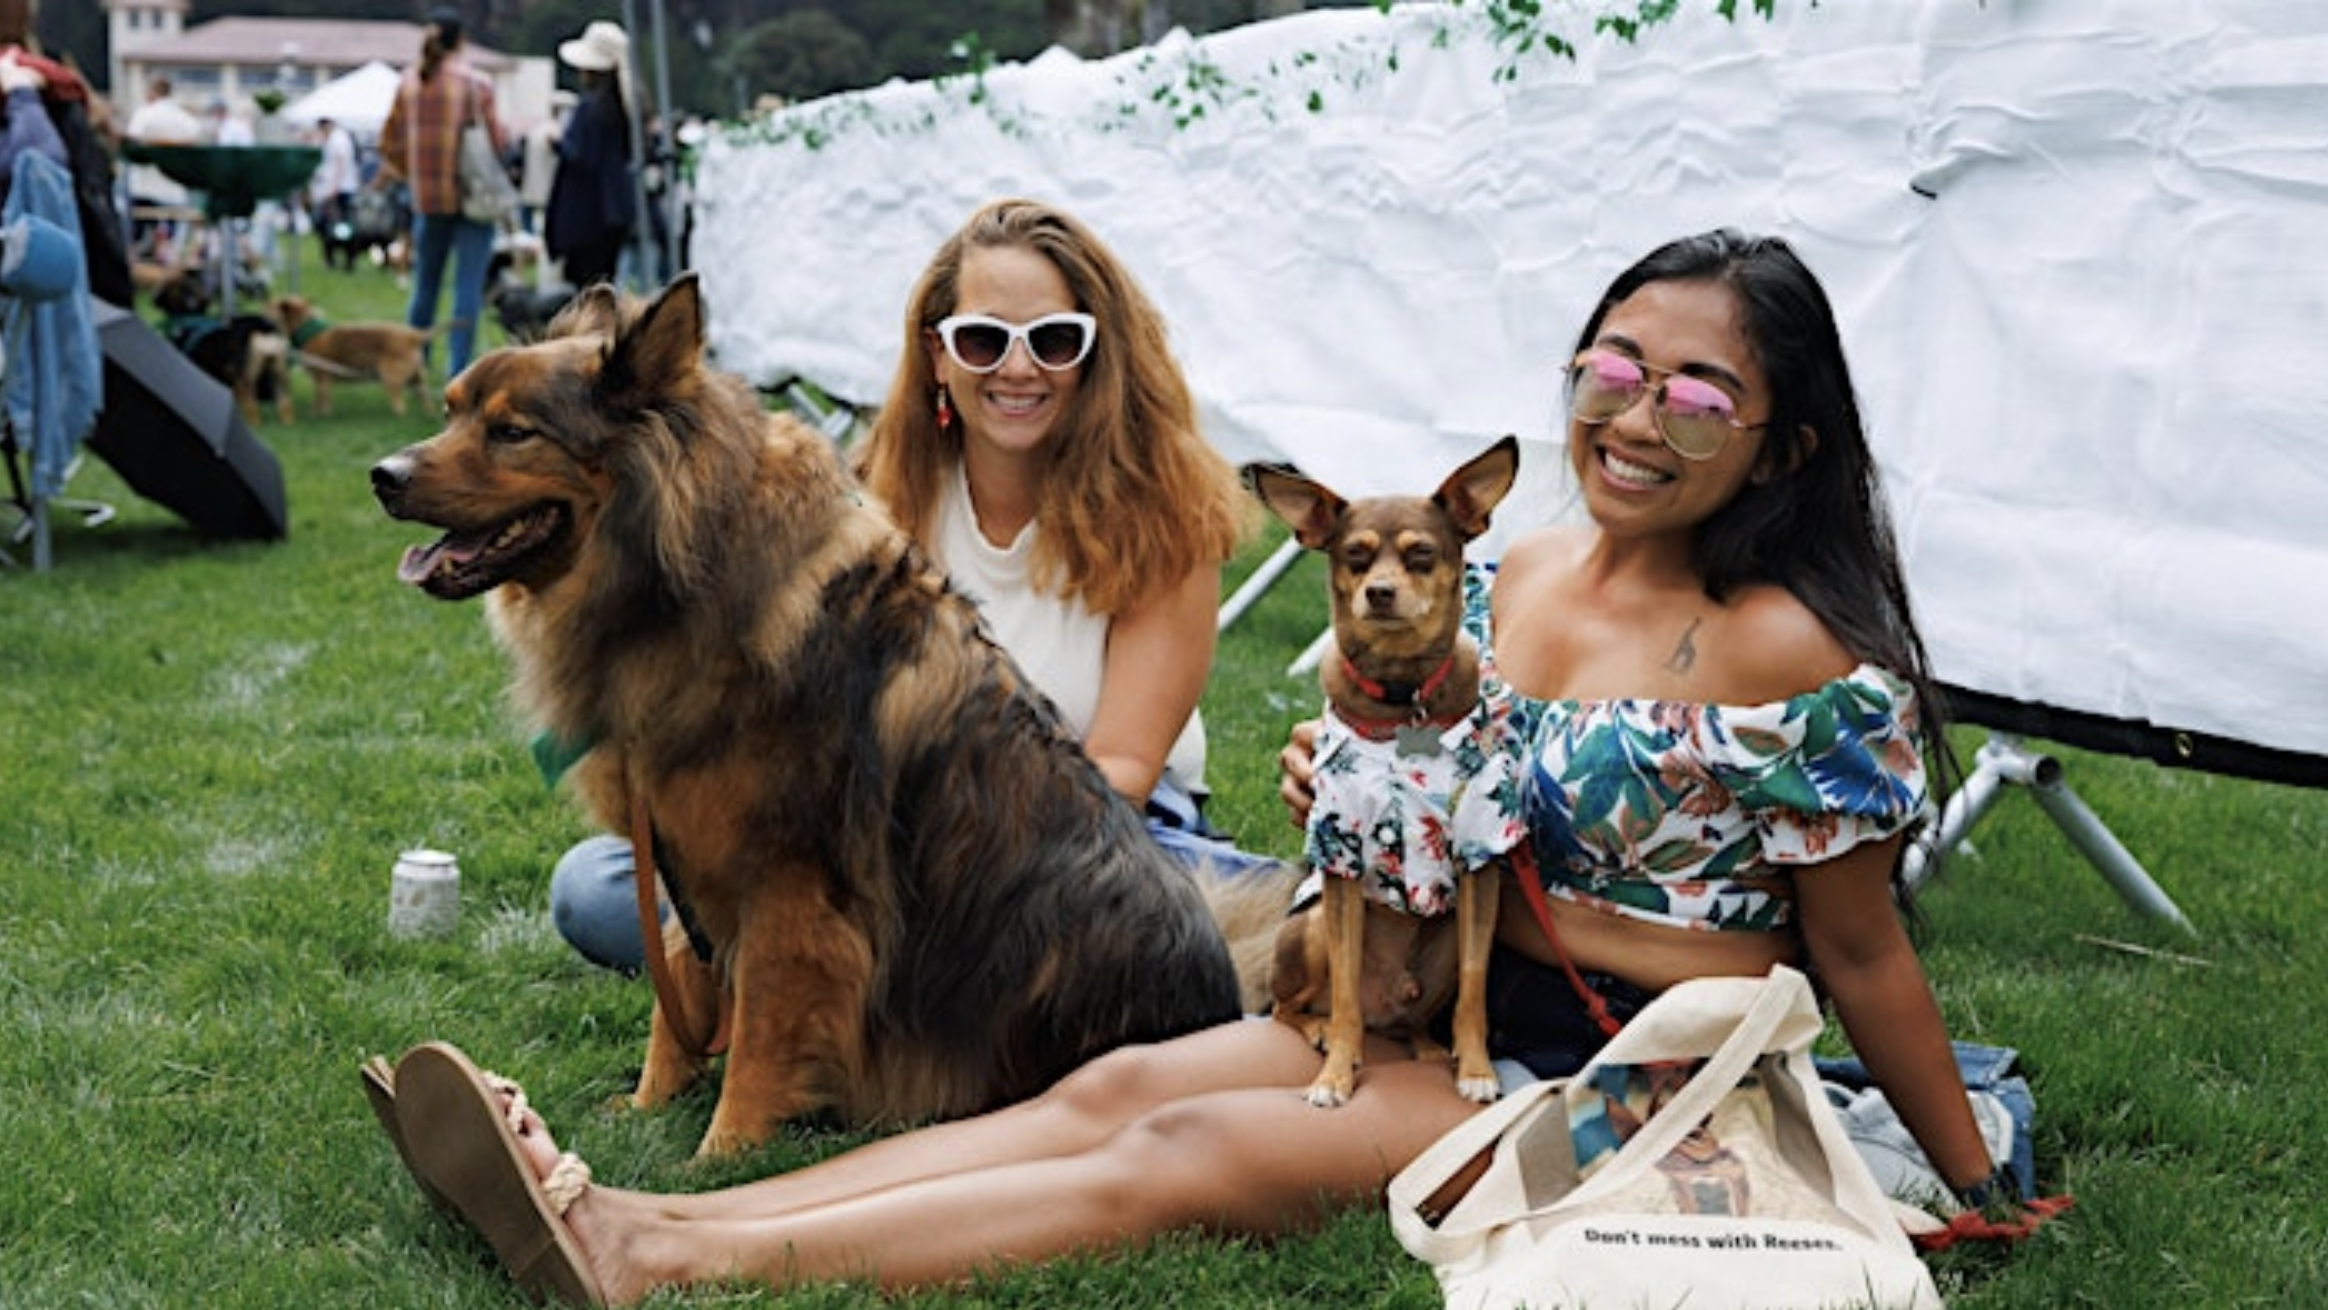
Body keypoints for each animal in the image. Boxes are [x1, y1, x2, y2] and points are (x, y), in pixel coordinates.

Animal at [372, 276, 1247, 1158]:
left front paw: (722, 1151)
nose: (383, 474)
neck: (681, 585)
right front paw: (652, 1106)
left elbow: (762, 1026)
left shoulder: (792, 888)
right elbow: (675, 987)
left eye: (512, 431)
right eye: (450, 410)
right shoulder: (688, 856)